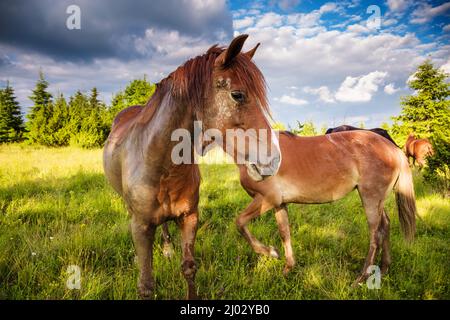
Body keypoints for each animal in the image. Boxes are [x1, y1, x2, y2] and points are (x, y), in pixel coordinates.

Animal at [104, 33, 282, 298]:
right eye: (238, 95)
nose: (274, 160)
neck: (161, 164)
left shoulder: (190, 217)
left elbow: (189, 267)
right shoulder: (141, 226)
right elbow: (146, 284)